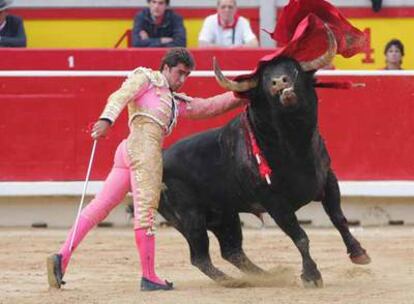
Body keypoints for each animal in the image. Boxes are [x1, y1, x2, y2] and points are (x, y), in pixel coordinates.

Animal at [157, 29, 370, 288]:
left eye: (293, 68)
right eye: (265, 78)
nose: (280, 82)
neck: (295, 146)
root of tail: (161, 156)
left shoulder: (328, 179)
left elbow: (339, 218)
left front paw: (359, 253)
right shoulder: (274, 202)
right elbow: (300, 236)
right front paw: (311, 275)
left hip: (224, 215)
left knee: (232, 250)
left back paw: (265, 276)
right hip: (190, 217)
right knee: (200, 257)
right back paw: (233, 282)